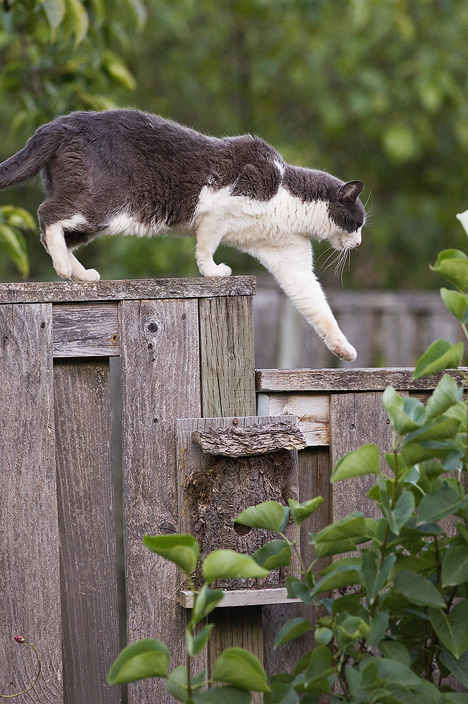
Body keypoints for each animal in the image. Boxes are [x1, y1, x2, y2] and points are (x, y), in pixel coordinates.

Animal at [0, 110, 366, 364]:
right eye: (358, 223)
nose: (360, 243)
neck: (287, 200)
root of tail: (56, 125)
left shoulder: (287, 255)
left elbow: (314, 301)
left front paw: (344, 349)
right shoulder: (217, 210)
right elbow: (206, 246)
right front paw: (214, 272)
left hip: (94, 220)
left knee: (58, 234)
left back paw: (79, 274)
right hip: (102, 204)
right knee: (47, 212)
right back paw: (64, 268)